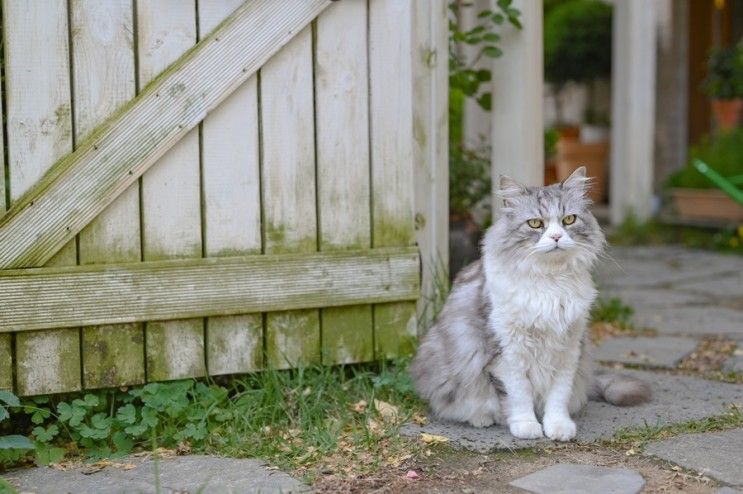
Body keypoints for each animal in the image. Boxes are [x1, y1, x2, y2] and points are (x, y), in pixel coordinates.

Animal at [412, 167, 652, 440]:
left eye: (569, 219)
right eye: (535, 223)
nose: (556, 236)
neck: (550, 284)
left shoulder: (569, 348)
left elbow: (558, 396)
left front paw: (558, 427)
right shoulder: (507, 353)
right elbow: (518, 395)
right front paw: (526, 426)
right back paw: (482, 418)